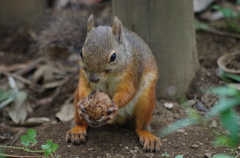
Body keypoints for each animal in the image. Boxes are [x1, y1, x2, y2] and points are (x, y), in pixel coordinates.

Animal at [65, 15, 162, 152]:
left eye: (113, 57)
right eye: (81, 54)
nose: (93, 79)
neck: (108, 77)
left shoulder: (131, 73)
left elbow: (128, 91)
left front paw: (114, 106)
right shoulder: (84, 76)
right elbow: (84, 86)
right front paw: (83, 104)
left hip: (146, 100)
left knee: (141, 125)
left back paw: (147, 136)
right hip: (76, 96)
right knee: (80, 120)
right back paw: (77, 129)